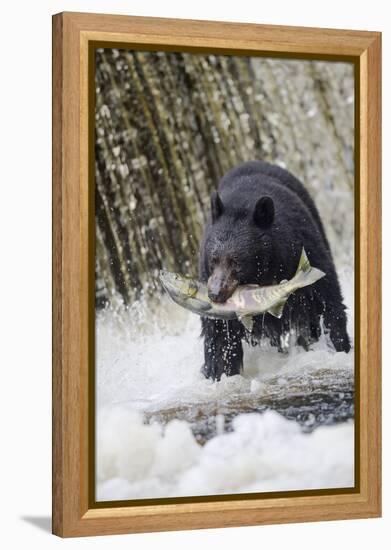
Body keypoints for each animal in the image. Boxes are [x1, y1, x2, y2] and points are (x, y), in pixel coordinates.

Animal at [201, 162, 350, 382]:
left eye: (236, 261)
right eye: (213, 259)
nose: (215, 294)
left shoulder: (302, 249)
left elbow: (326, 297)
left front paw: (339, 346)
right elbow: (218, 332)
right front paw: (220, 373)